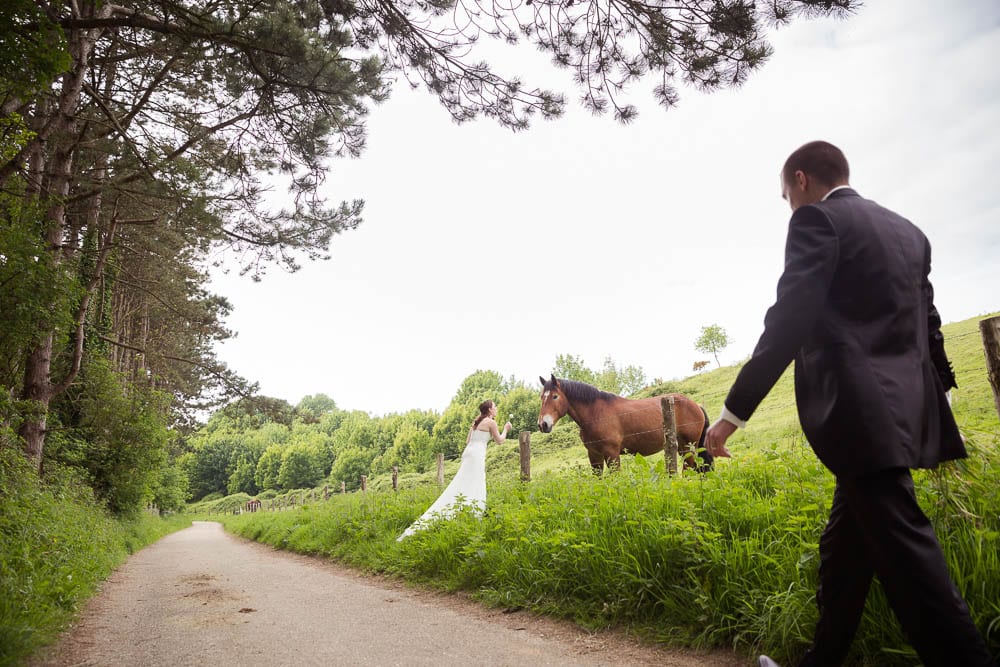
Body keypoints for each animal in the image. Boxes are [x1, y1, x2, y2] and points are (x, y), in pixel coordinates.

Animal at [540, 376, 712, 474]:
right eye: (542, 397)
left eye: (555, 396)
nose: (543, 424)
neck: (595, 414)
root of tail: (696, 405)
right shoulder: (594, 455)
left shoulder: (612, 454)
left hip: (687, 447)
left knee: (690, 468)